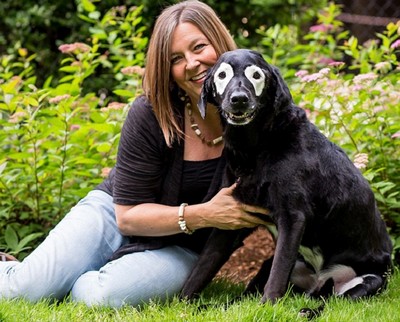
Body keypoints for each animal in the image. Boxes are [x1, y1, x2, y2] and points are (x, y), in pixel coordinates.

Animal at [180, 49, 392, 316]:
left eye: (256, 75)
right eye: (222, 75)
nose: (239, 99)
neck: (255, 147)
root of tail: (316, 285)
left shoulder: (293, 217)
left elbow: (277, 278)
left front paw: (267, 310)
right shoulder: (229, 221)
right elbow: (202, 268)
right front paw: (181, 305)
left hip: (368, 281)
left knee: (331, 303)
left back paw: (306, 311)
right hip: (265, 266)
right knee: (244, 298)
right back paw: (216, 306)